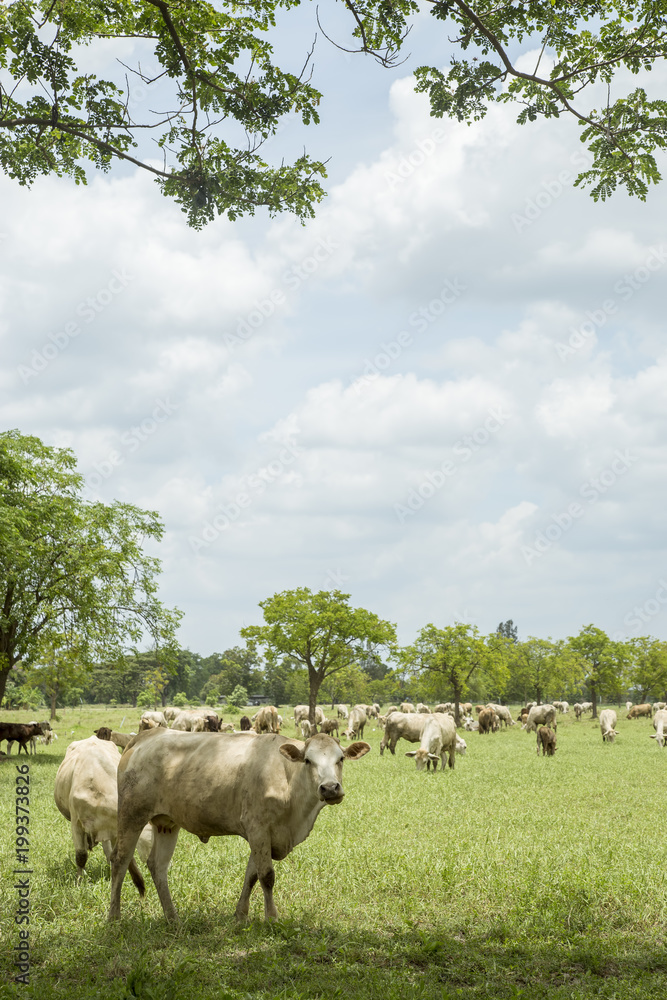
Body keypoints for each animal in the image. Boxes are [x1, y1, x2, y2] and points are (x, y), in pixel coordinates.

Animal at [108, 729, 370, 922]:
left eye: (341, 759)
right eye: (308, 760)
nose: (330, 788)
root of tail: (146, 736)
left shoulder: (263, 835)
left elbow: (251, 875)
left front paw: (241, 915)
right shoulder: (258, 827)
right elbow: (266, 876)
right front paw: (272, 918)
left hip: (167, 823)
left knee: (158, 866)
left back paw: (172, 918)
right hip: (131, 815)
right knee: (120, 860)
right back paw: (114, 917)